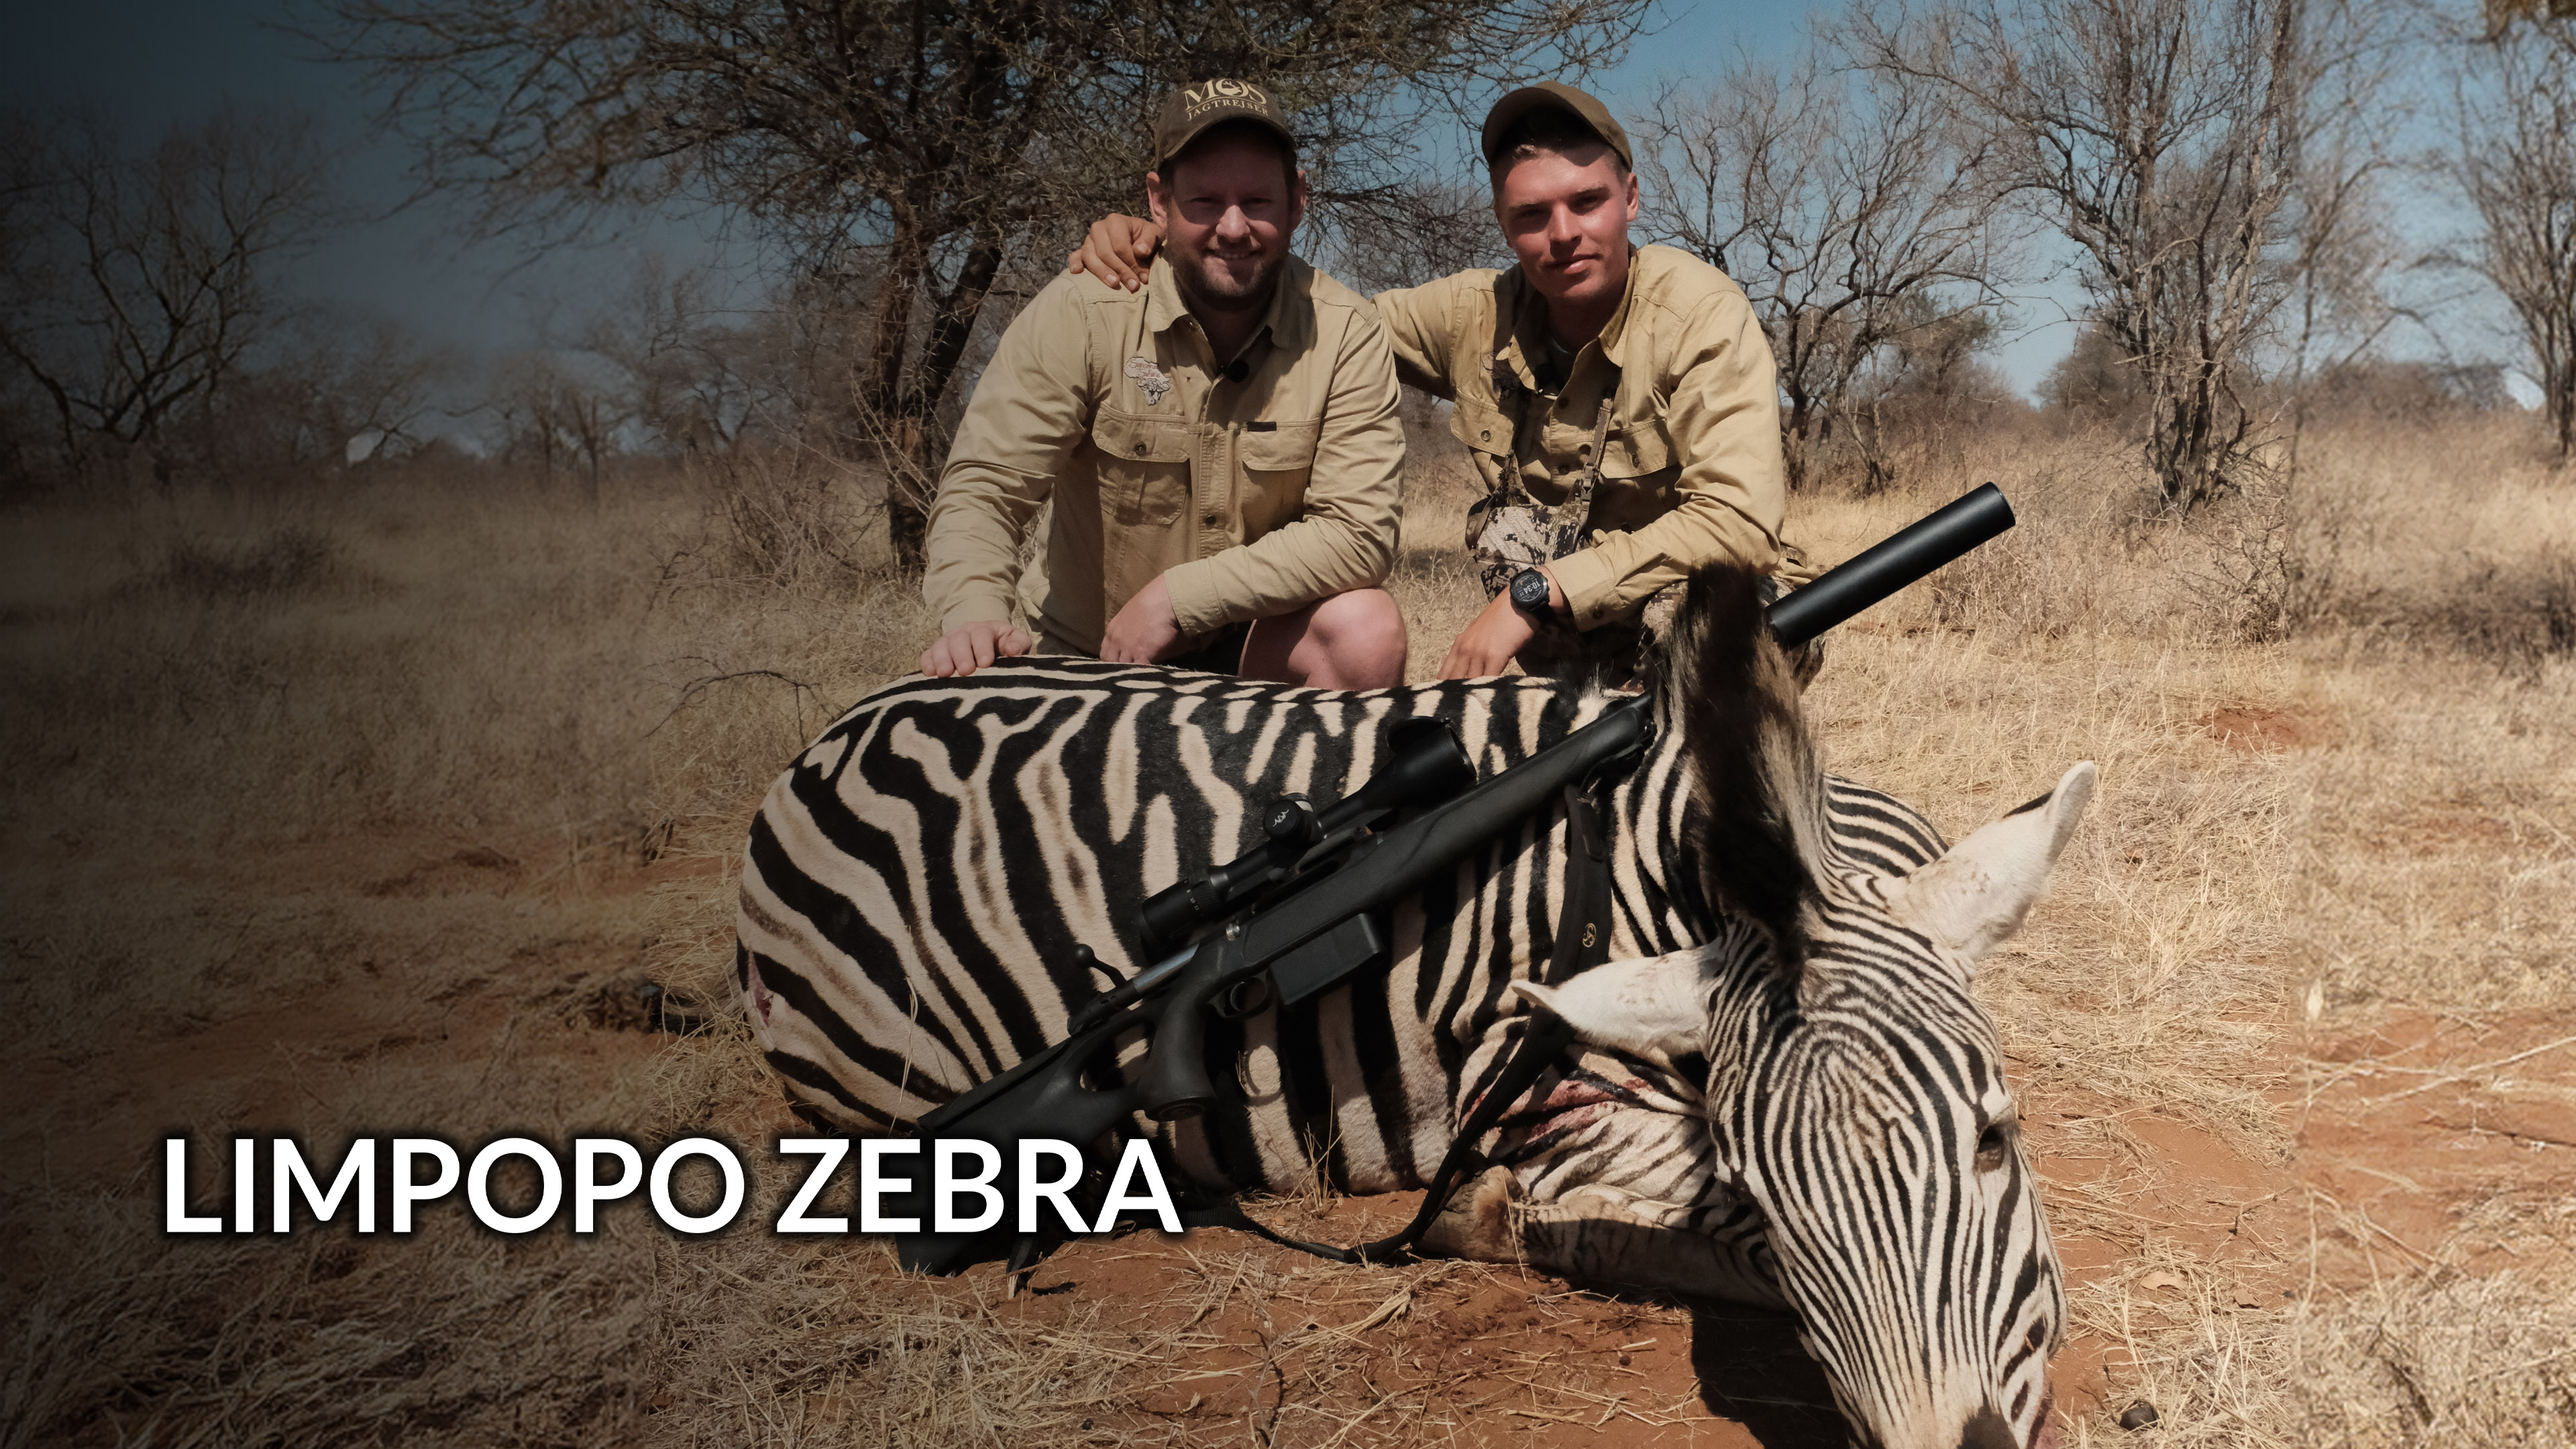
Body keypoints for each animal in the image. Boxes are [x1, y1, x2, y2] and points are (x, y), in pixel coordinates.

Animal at [735, 565, 2092, 1449]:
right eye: (1770, 1195)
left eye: (1995, 1139)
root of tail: (822, 749)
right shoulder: (1541, 1082)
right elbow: (1671, 1227)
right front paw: (1510, 1219)